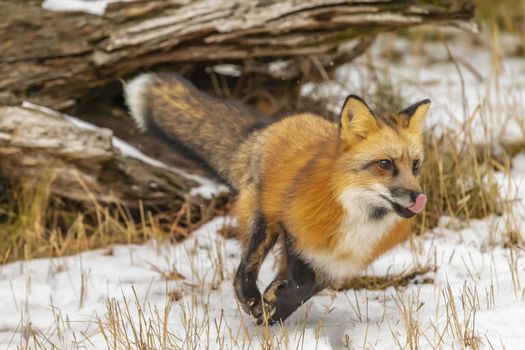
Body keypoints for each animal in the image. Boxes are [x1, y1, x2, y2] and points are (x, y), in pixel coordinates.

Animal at [125, 74, 428, 326]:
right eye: (385, 164)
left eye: (415, 166)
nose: (418, 197)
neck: (358, 215)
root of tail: (271, 126)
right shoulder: (295, 228)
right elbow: (301, 280)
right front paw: (266, 304)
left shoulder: (341, 262)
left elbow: (304, 288)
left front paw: (274, 307)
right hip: (263, 221)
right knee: (244, 269)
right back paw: (249, 295)